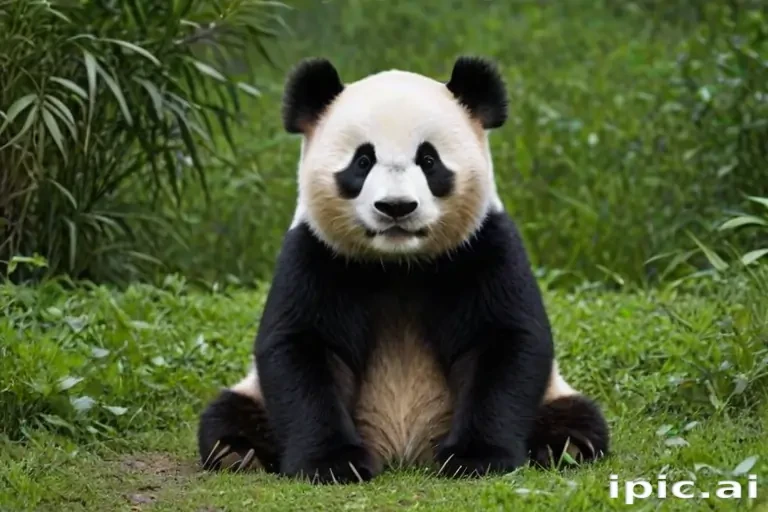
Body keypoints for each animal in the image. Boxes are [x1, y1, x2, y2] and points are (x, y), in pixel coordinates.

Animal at [197, 56, 610, 483]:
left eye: (428, 161)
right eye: (363, 161)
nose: (396, 207)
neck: (399, 264)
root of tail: (402, 450)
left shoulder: (485, 247)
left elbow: (505, 343)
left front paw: (475, 457)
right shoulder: (315, 255)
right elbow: (300, 348)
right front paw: (333, 462)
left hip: (554, 391)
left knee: (579, 416)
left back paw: (564, 447)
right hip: (253, 391)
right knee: (226, 415)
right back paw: (237, 452)